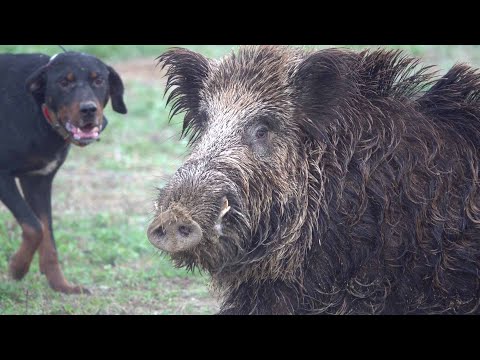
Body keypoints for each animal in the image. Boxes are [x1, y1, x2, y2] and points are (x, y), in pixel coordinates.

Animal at [0, 51, 127, 292]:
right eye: (64, 83)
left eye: (99, 80)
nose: (89, 110)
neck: (39, 110)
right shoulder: (2, 177)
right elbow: (34, 227)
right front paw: (17, 268)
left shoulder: (38, 180)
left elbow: (46, 233)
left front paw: (61, 286)